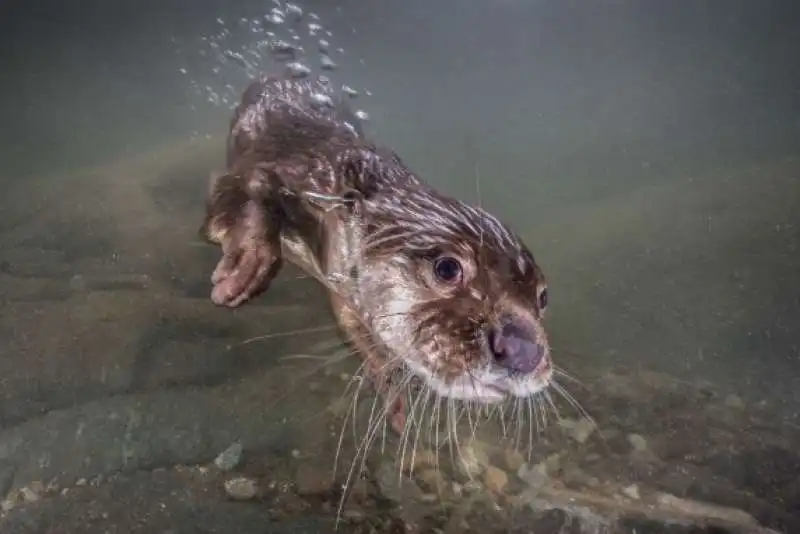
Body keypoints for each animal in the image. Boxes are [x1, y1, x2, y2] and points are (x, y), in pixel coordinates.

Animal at [202, 74, 552, 436]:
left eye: (543, 297)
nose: (525, 350)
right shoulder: (283, 165)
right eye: (447, 268)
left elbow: (356, 332)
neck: (343, 188)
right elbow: (250, 185)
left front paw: (393, 397)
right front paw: (247, 267)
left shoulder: (342, 287)